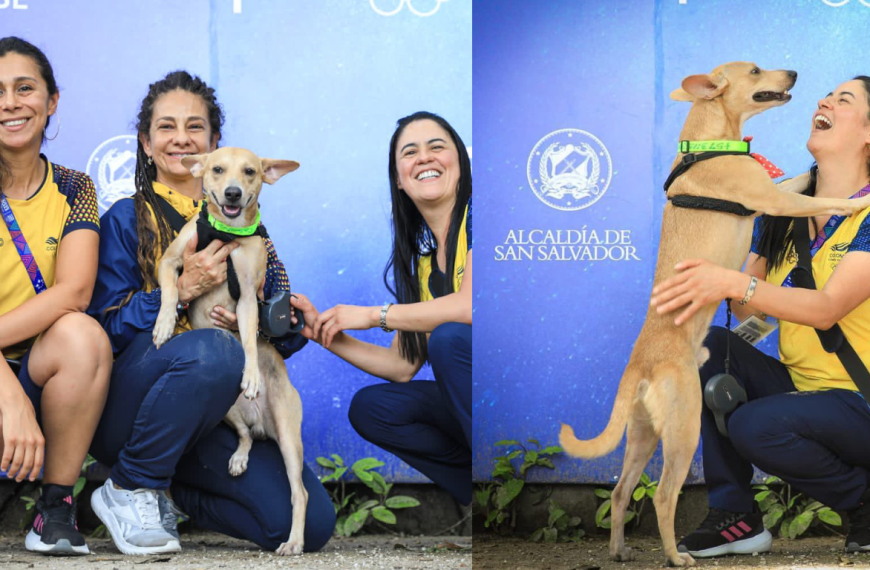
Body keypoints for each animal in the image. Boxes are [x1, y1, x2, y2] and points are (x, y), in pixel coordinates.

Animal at [153, 146, 310, 556]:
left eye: (251, 171)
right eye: (218, 169)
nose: (234, 193)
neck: (226, 233)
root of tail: (261, 422)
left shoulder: (249, 300)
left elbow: (251, 339)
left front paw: (252, 374)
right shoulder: (171, 260)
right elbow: (171, 291)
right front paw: (163, 325)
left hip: (289, 436)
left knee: (299, 493)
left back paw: (294, 541)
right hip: (225, 410)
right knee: (244, 436)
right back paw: (239, 457)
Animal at [560, 62, 870, 564]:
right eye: (755, 70)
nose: (795, 72)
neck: (708, 144)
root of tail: (641, 366)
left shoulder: (773, 192)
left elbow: (797, 181)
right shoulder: (775, 200)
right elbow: (822, 197)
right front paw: (858, 200)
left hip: (643, 433)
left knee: (622, 491)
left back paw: (620, 550)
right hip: (684, 428)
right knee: (663, 496)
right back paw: (675, 556)